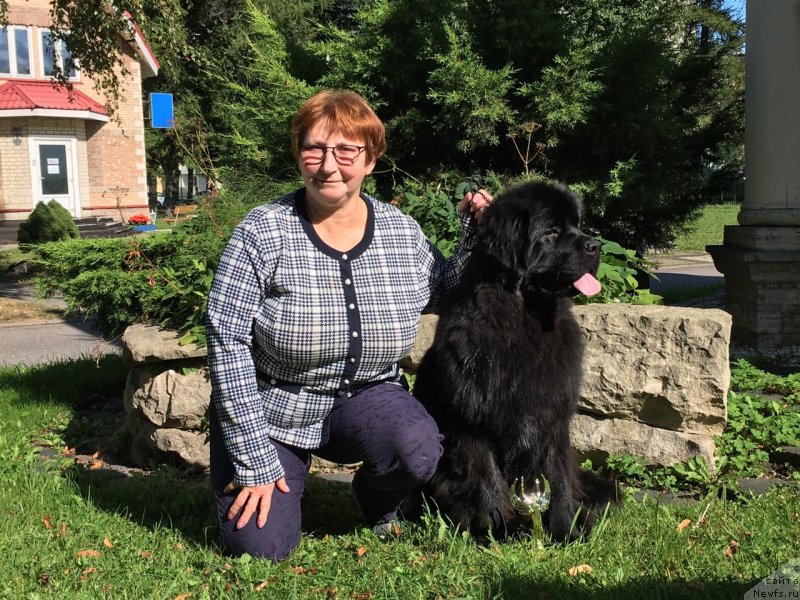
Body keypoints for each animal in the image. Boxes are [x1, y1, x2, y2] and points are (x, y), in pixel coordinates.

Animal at [410, 180, 620, 540]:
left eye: (577, 224)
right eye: (551, 231)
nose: (596, 245)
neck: (525, 317)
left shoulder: (552, 415)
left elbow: (558, 477)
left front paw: (565, 529)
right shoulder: (472, 421)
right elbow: (486, 479)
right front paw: (500, 529)